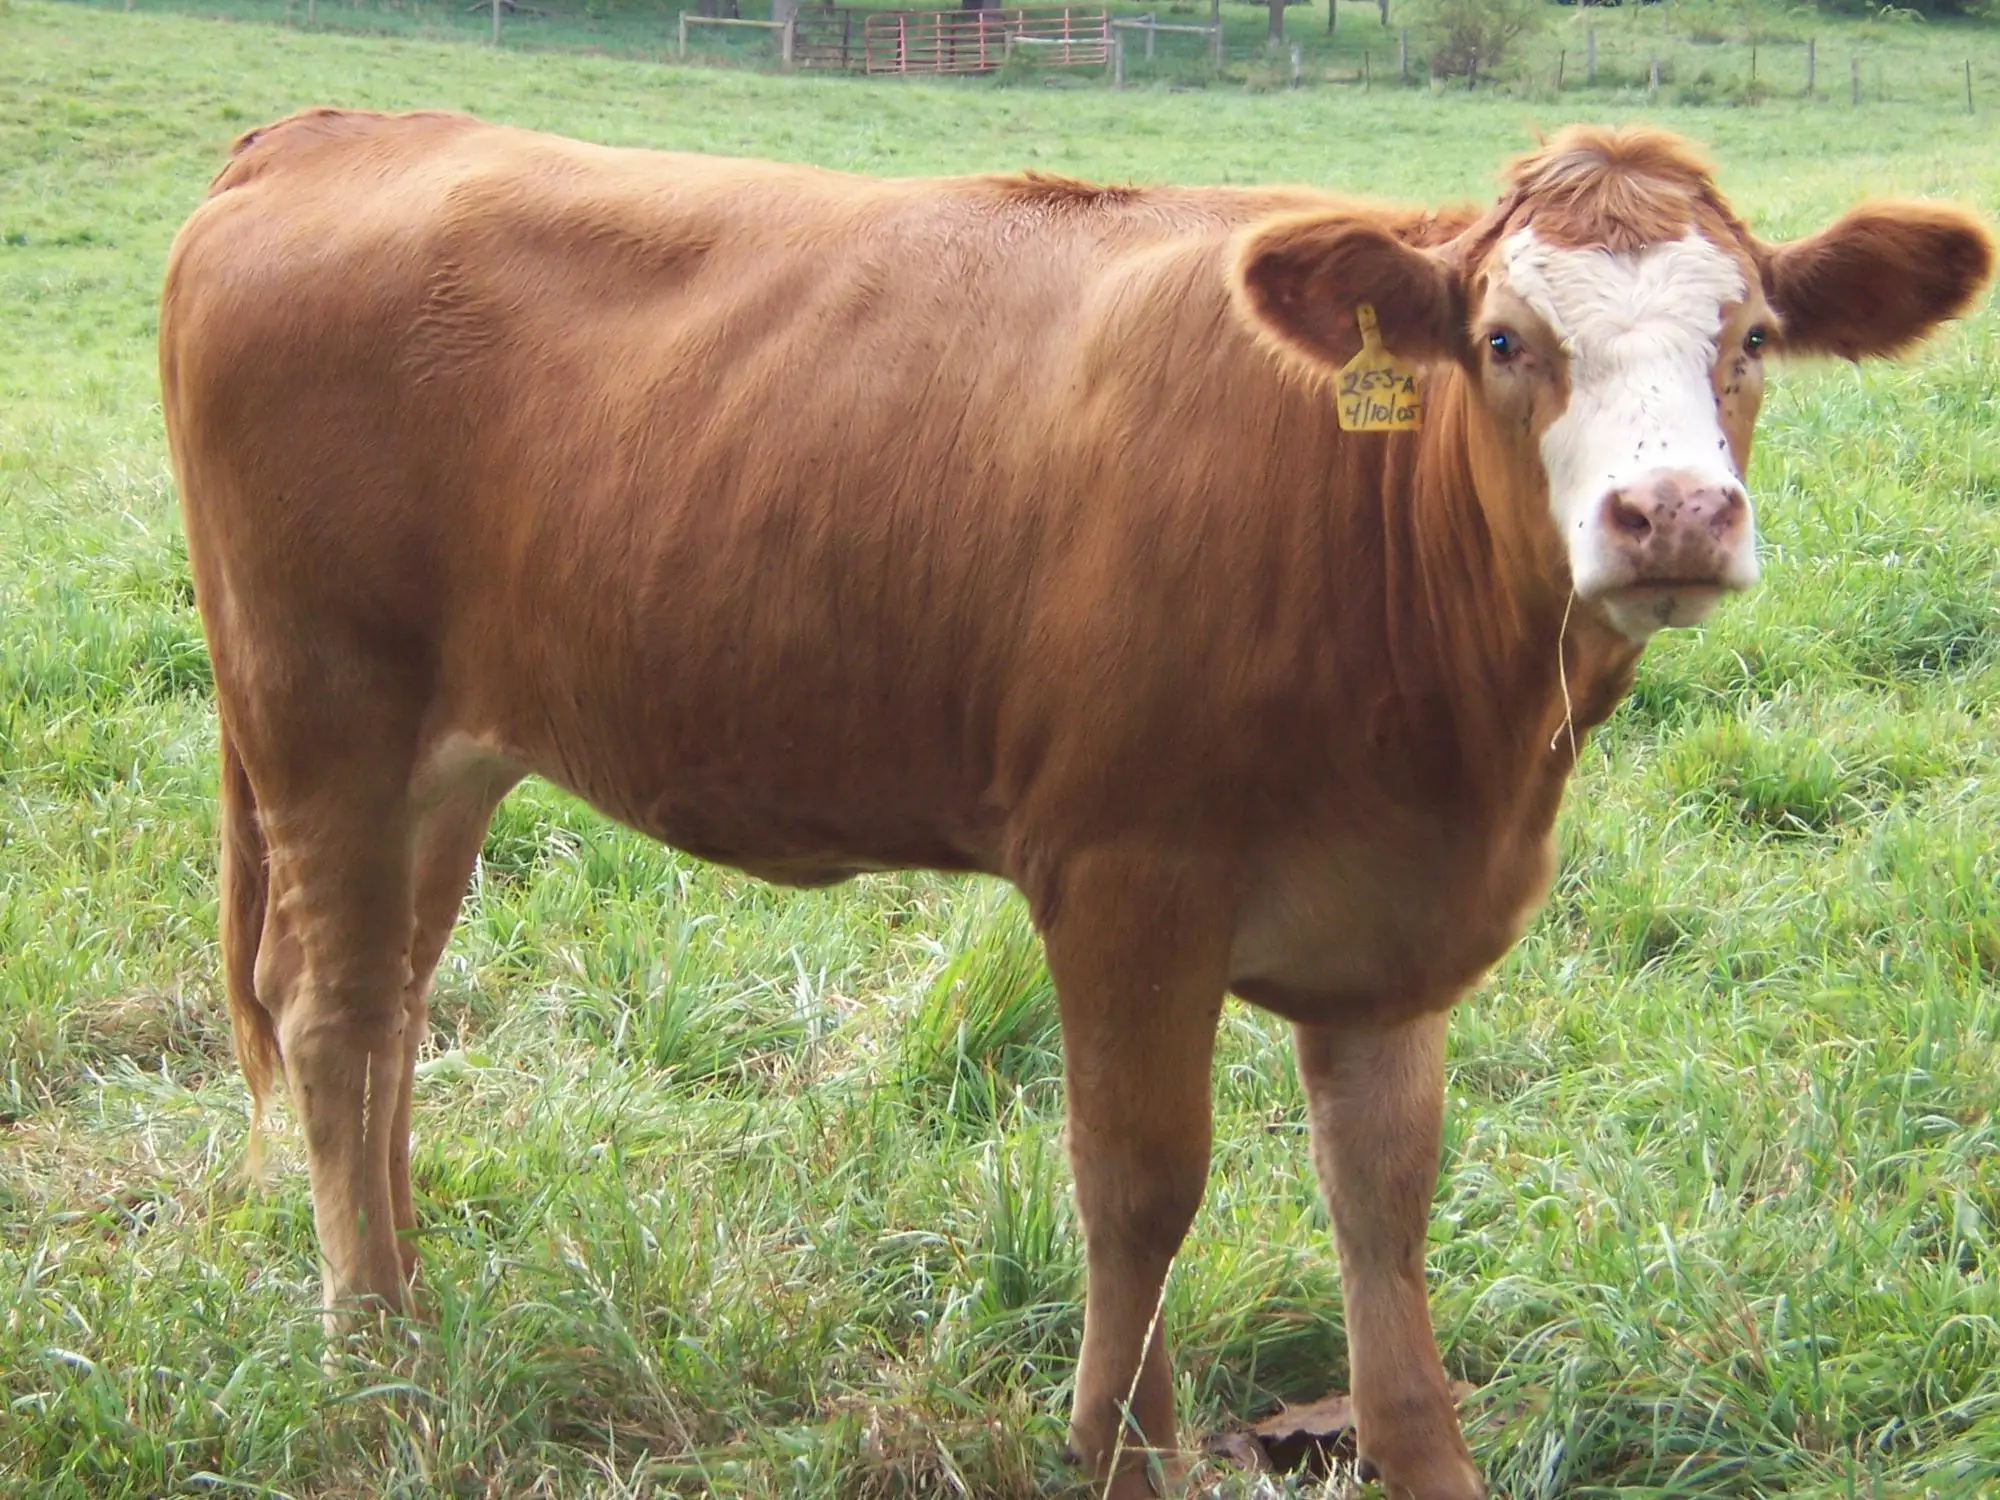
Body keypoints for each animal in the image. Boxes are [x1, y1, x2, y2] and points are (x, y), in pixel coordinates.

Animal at [158, 110, 1991, 1498]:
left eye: (1751, 338)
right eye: (1502, 343)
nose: (1672, 513)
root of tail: (332, 132)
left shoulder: (1389, 928)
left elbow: (1383, 1199)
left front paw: (1417, 1457)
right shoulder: (1125, 875)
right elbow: (1139, 1182)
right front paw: (1122, 1450)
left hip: (447, 758)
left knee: (392, 1008)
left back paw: (409, 1293)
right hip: (322, 707)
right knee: (329, 1010)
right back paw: (371, 1349)